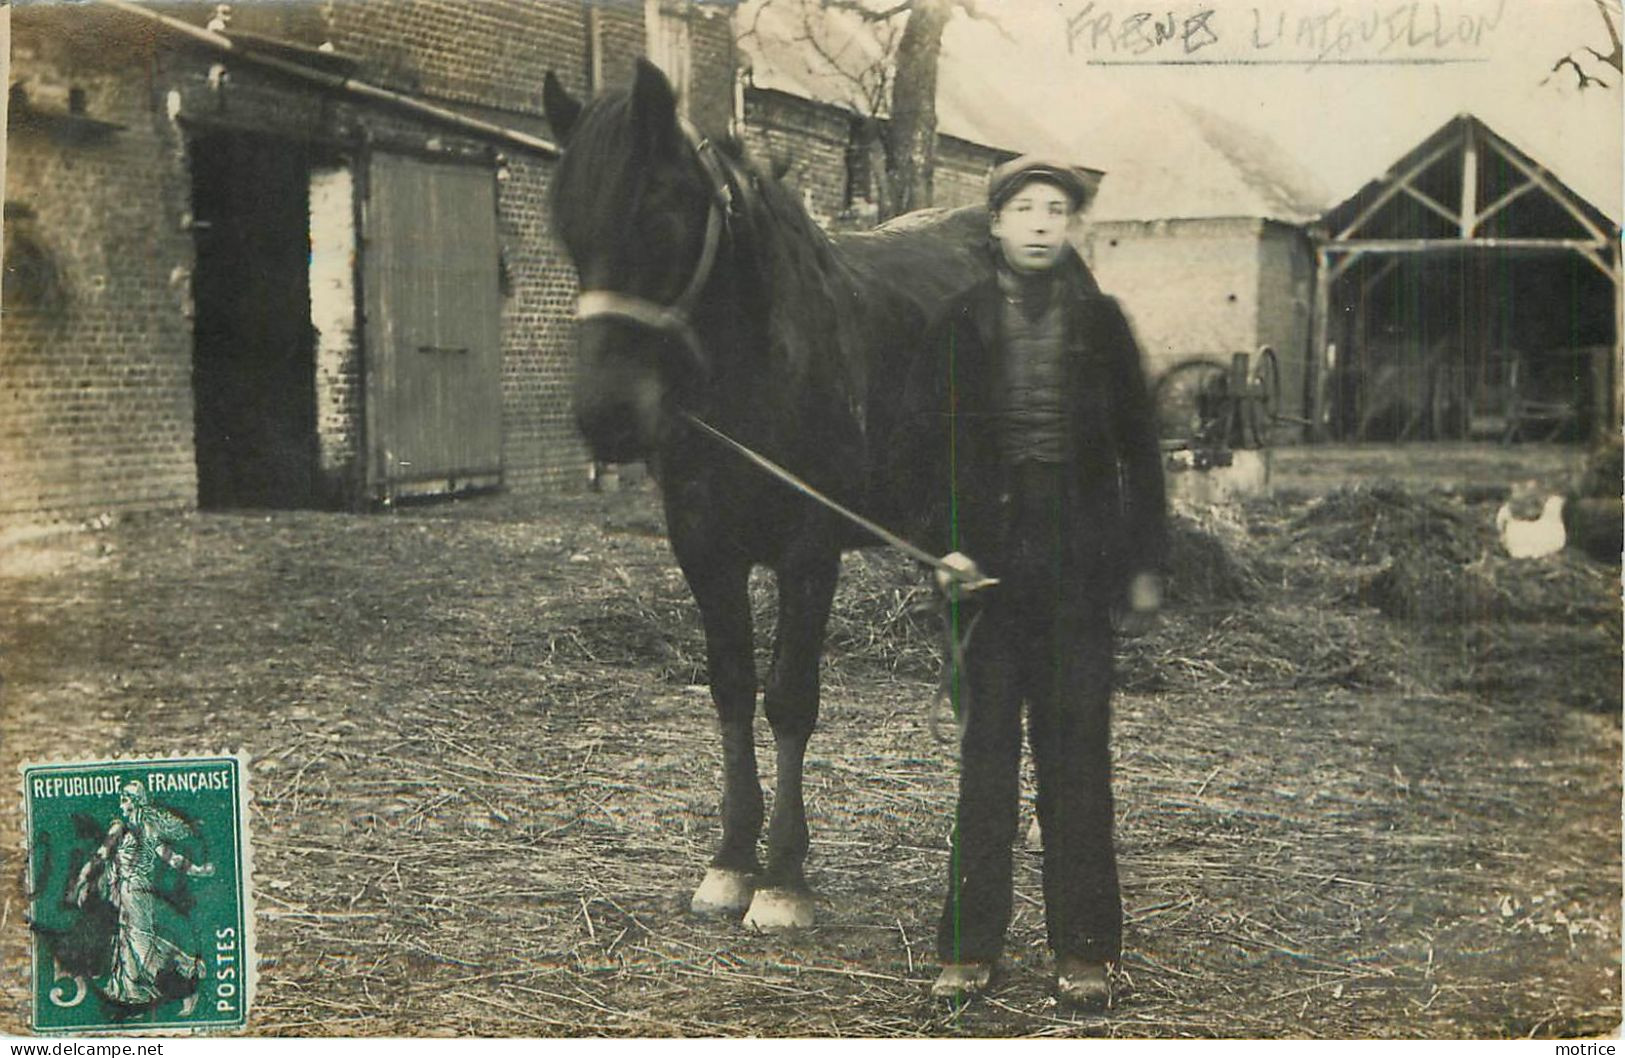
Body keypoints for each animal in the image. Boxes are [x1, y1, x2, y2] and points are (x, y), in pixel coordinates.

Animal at [542, 62, 988, 929]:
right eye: (567, 230)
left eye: (660, 213)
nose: (607, 418)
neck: (751, 374)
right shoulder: (703, 551)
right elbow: (730, 689)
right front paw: (728, 863)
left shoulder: (808, 555)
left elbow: (788, 698)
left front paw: (782, 877)